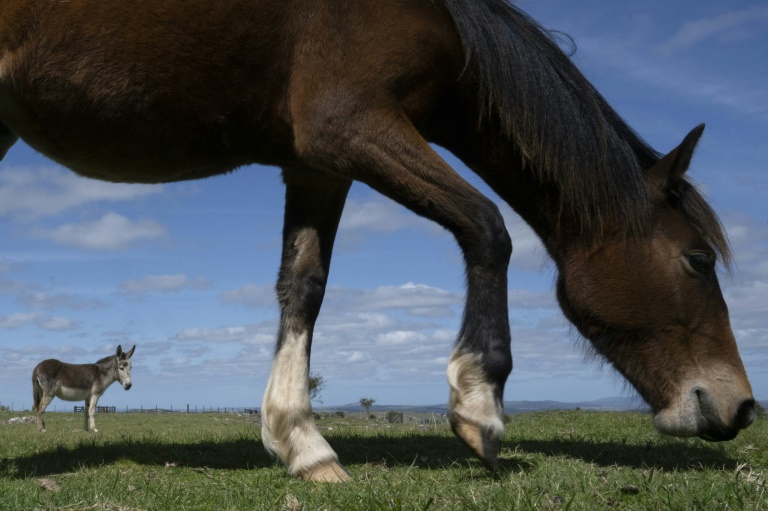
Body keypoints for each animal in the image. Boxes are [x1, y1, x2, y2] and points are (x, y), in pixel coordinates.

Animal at [0, 0, 756, 482]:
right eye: (697, 259)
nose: (743, 406)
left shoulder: (318, 162)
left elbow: (303, 286)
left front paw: (300, 442)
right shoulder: (352, 126)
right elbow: (487, 226)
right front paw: (479, 400)